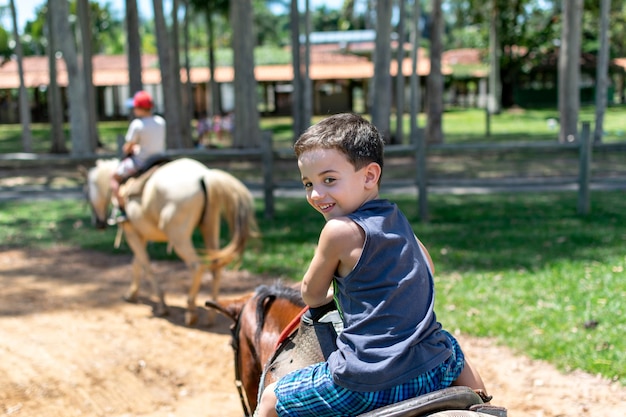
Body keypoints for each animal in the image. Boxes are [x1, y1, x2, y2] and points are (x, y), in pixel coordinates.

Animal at [83, 156, 258, 324]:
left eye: (88, 193)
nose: (98, 224)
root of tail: (205, 176)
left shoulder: (131, 233)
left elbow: (146, 266)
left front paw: (162, 305)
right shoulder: (142, 235)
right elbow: (137, 263)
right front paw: (131, 294)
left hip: (178, 235)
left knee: (197, 266)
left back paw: (191, 311)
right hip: (210, 227)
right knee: (216, 267)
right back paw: (211, 315)